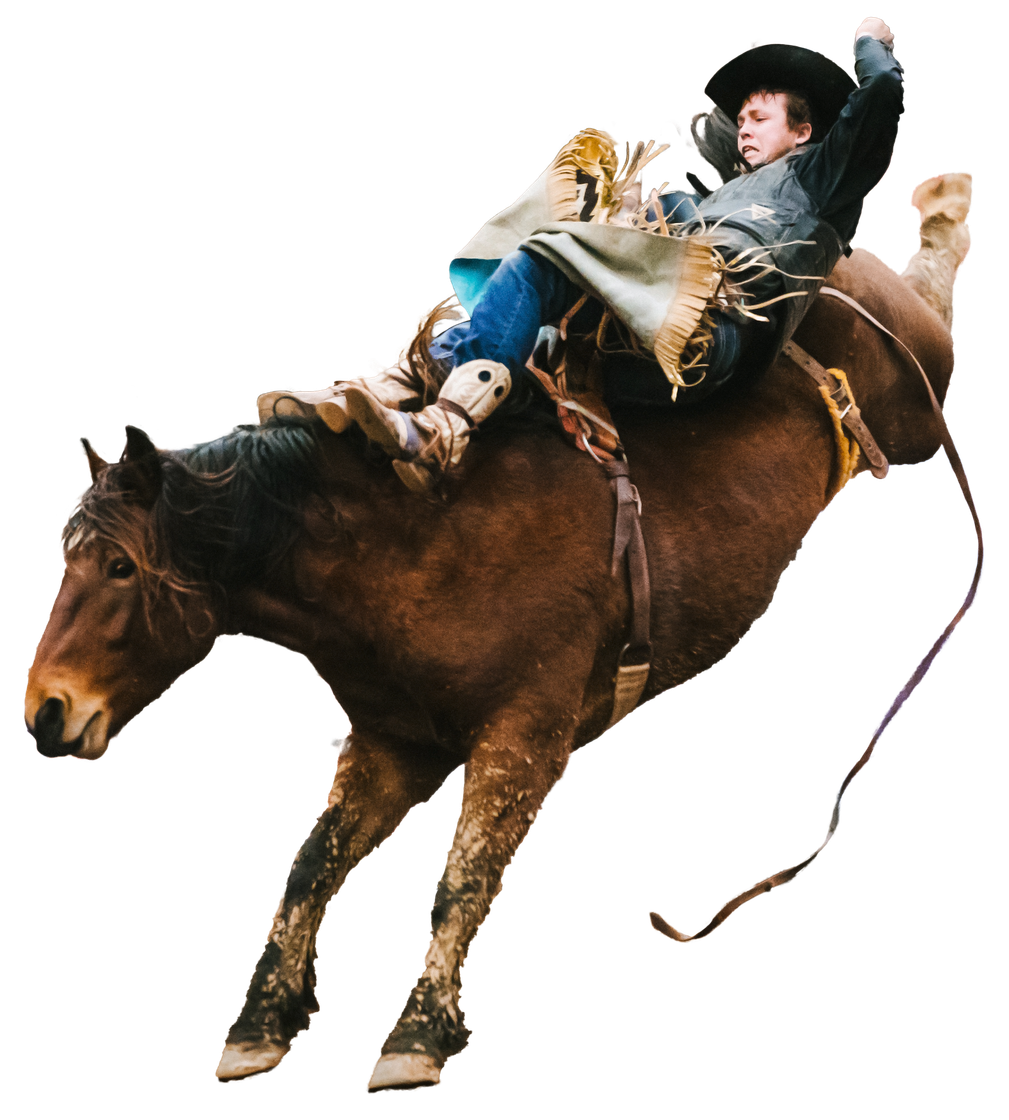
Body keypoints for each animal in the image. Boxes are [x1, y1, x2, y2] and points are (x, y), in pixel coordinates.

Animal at [23, 170, 981, 1088]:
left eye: (119, 569)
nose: (45, 712)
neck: (403, 543)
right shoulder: (395, 744)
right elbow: (312, 862)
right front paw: (261, 1023)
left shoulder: (522, 738)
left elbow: (462, 877)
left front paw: (415, 1038)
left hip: (911, 392)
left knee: (930, 302)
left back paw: (945, 204)